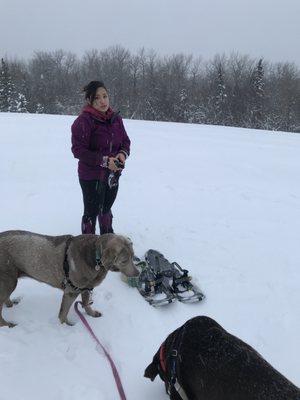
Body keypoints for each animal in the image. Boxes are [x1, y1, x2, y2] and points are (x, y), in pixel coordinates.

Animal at [0, 230, 138, 326]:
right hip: (9, 280)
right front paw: (66, 326)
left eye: (133, 256)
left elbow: (86, 304)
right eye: (124, 261)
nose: (138, 273)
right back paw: (7, 325)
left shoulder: (86, 288)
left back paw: (11, 305)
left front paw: (91, 314)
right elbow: (63, 312)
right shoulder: (71, 291)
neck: (95, 256)